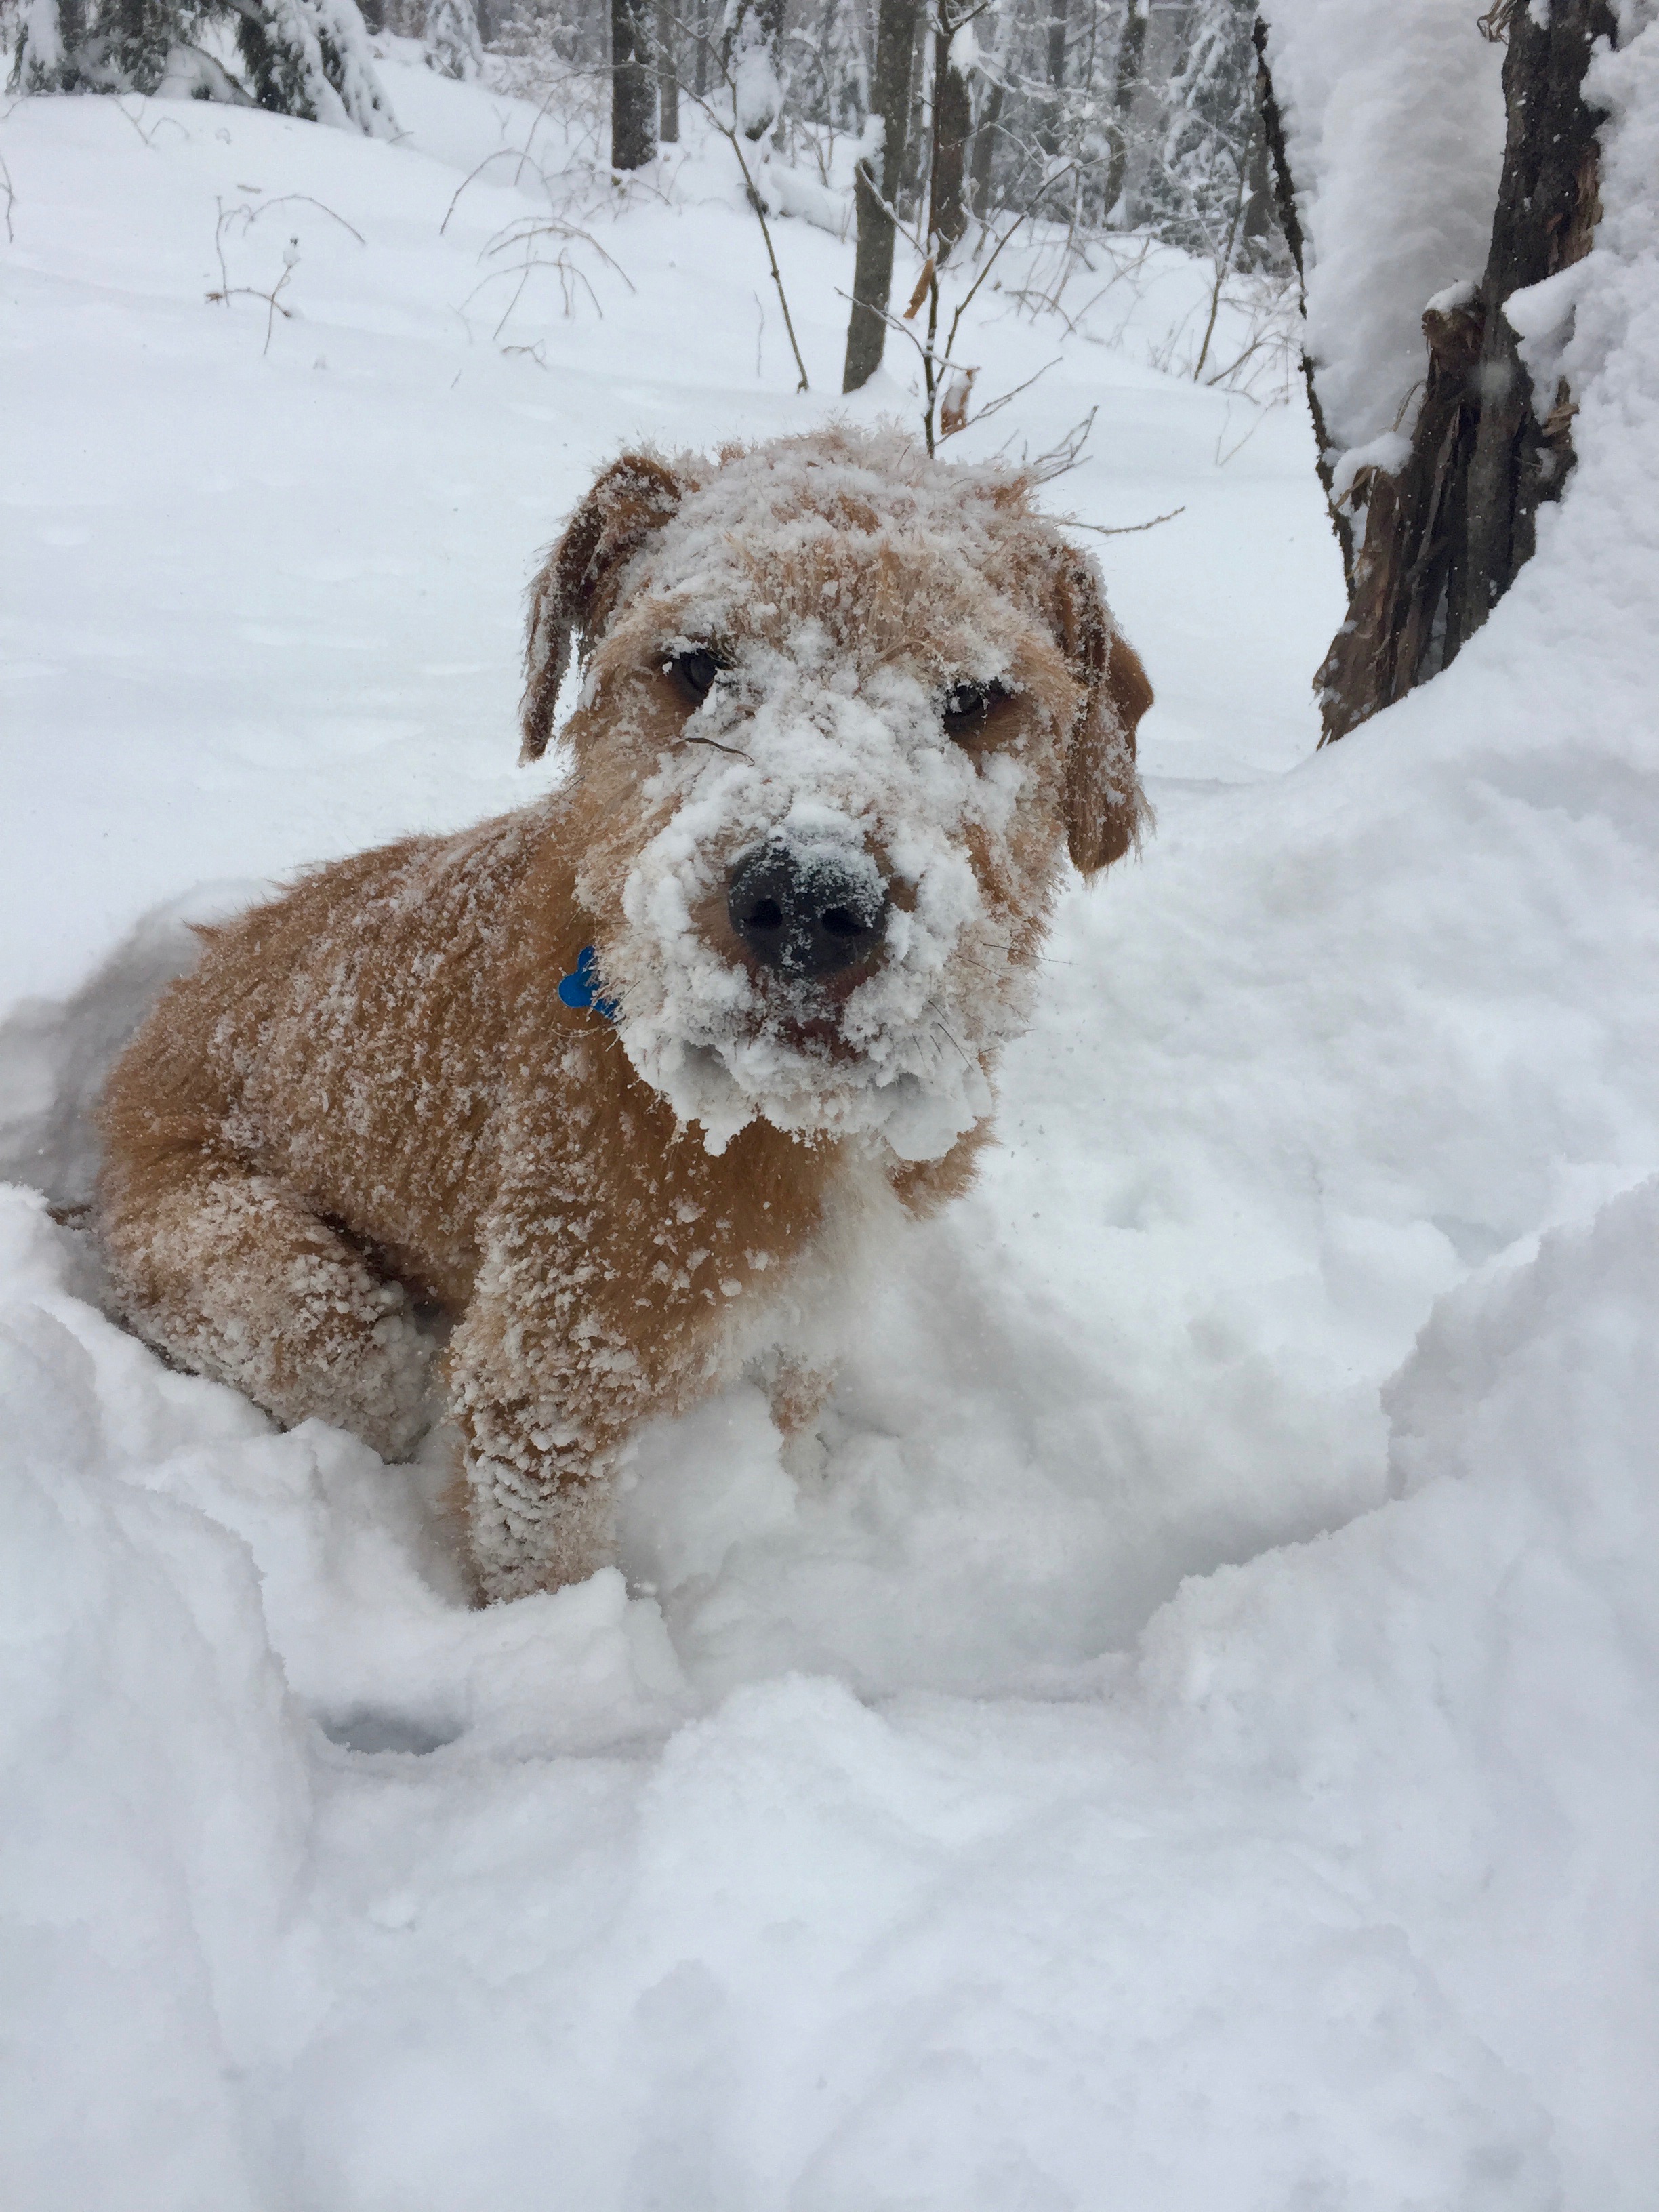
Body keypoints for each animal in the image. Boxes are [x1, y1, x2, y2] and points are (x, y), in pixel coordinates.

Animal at [97, 426, 1150, 1610]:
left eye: (976, 697)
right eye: (693, 663)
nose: (806, 902)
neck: (774, 1117)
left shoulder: (806, 1319)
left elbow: (789, 1424)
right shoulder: (548, 1373)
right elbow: (544, 1576)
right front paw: (565, 1653)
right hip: (311, 1309)